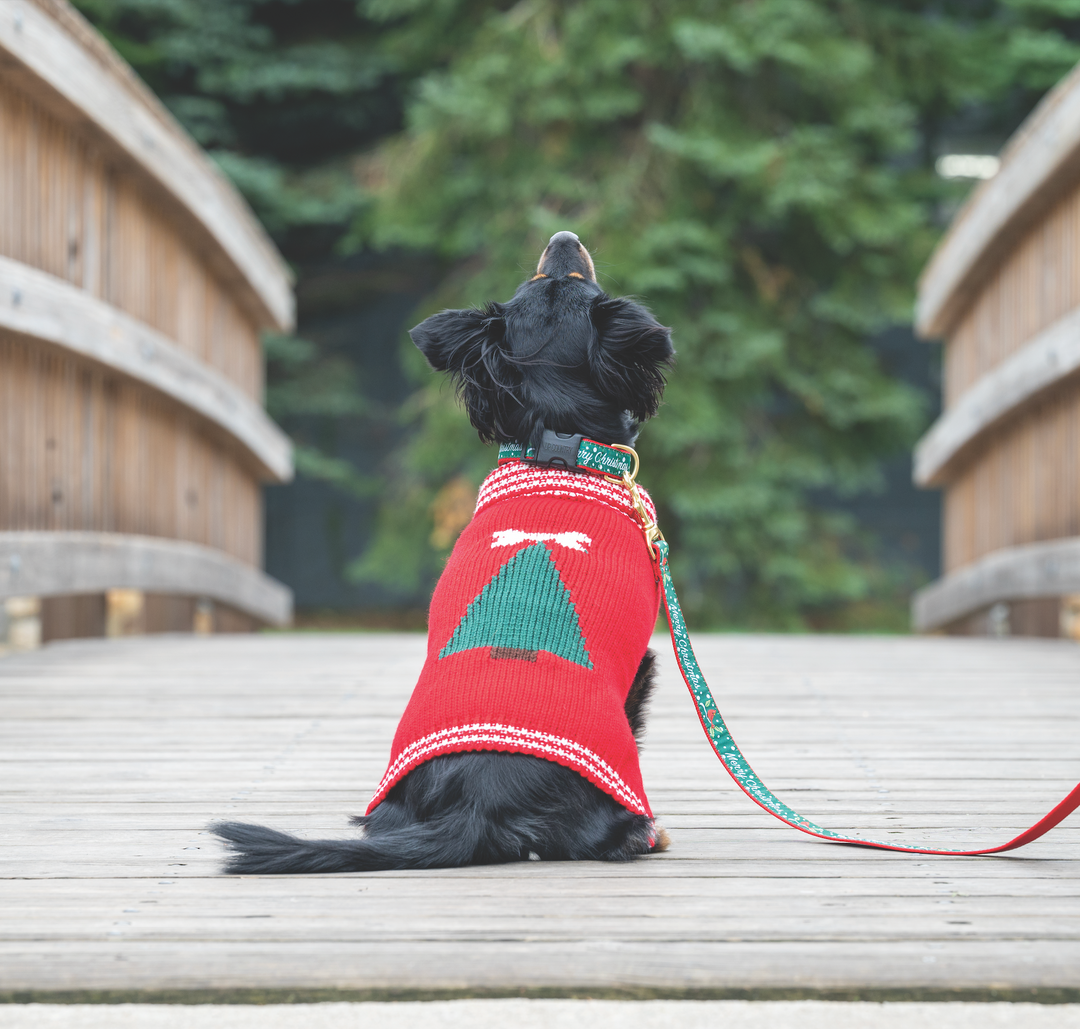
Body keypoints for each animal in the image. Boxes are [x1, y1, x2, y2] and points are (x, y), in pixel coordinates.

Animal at [206, 231, 669, 868]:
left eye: (544, 279)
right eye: (572, 283)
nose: (563, 237)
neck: (559, 444)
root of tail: (477, 803)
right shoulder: (641, 664)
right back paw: (645, 832)